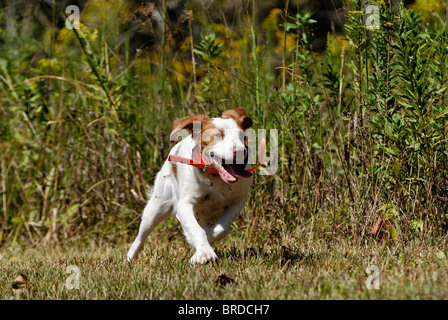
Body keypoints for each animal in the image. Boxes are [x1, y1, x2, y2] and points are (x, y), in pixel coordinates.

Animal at [128, 109, 258, 264]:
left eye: (242, 136)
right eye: (217, 135)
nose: (240, 151)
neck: (214, 177)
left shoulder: (238, 201)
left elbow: (221, 229)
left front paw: (204, 244)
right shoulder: (184, 204)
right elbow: (196, 230)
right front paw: (205, 254)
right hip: (156, 207)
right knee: (141, 236)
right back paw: (130, 257)